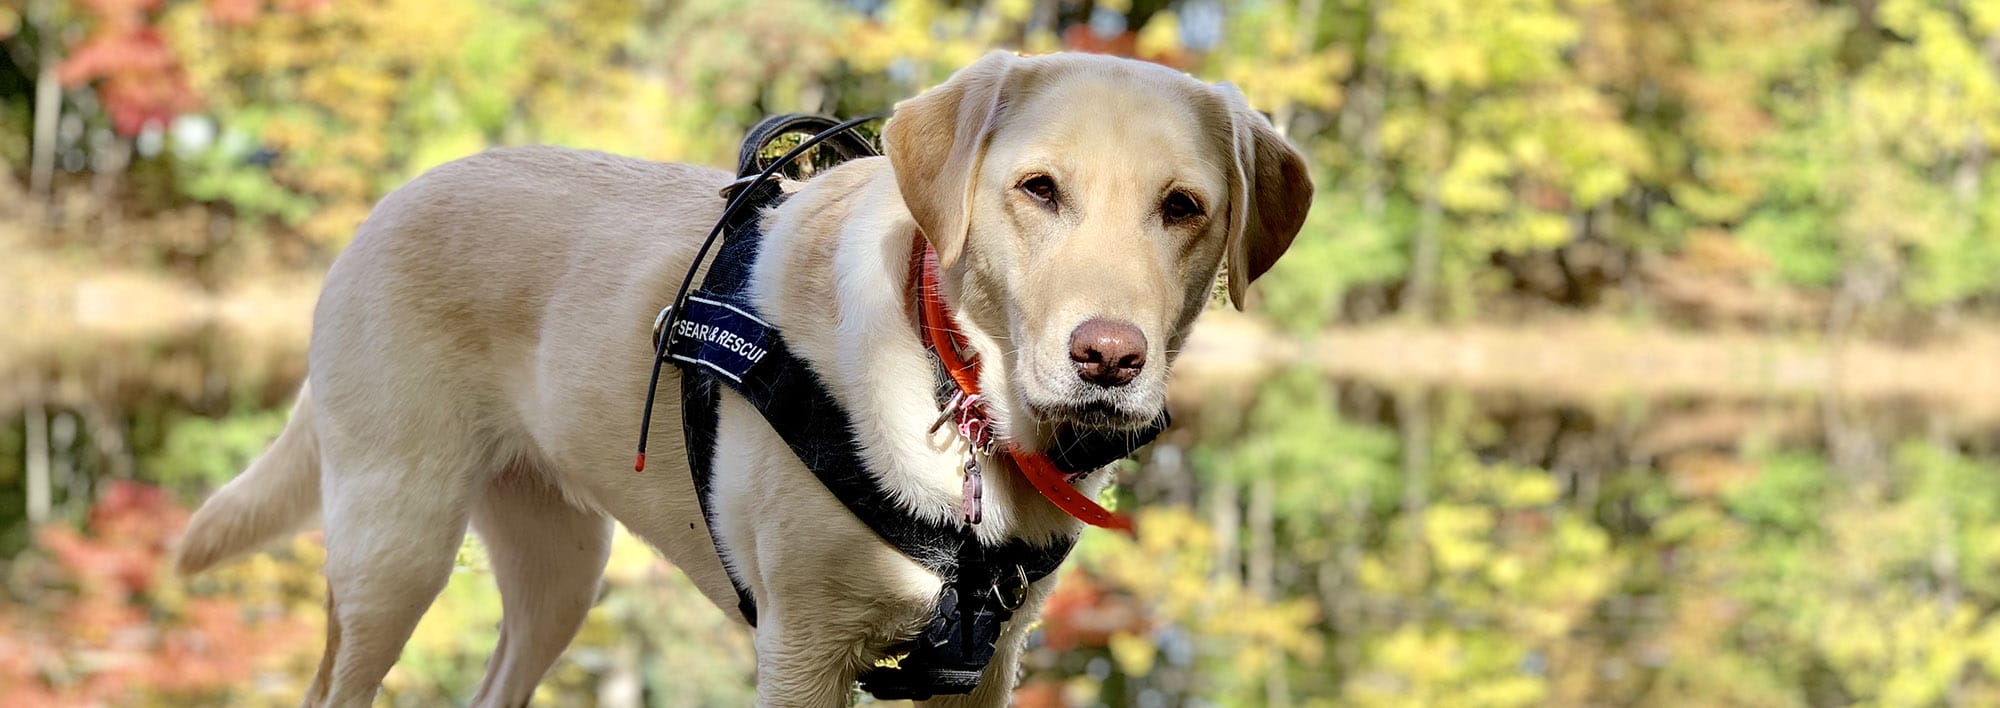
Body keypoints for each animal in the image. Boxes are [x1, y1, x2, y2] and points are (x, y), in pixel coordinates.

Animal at [176, 51, 1312, 708]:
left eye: (1183, 206)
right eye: (1038, 189)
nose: (1107, 357)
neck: (950, 383)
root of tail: (389, 202)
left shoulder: (988, 668)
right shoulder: (801, 652)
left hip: (559, 572)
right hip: (394, 551)